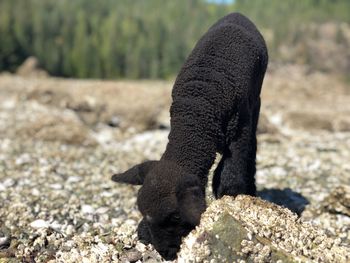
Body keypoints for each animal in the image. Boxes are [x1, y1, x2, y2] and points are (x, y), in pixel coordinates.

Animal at [112, 11, 268, 260]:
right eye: (144, 214)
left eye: (176, 216)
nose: (167, 253)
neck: (197, 114)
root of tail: (237, 14)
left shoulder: (240, 126)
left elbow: (232, 171)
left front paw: (231, 196)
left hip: (255, 101)